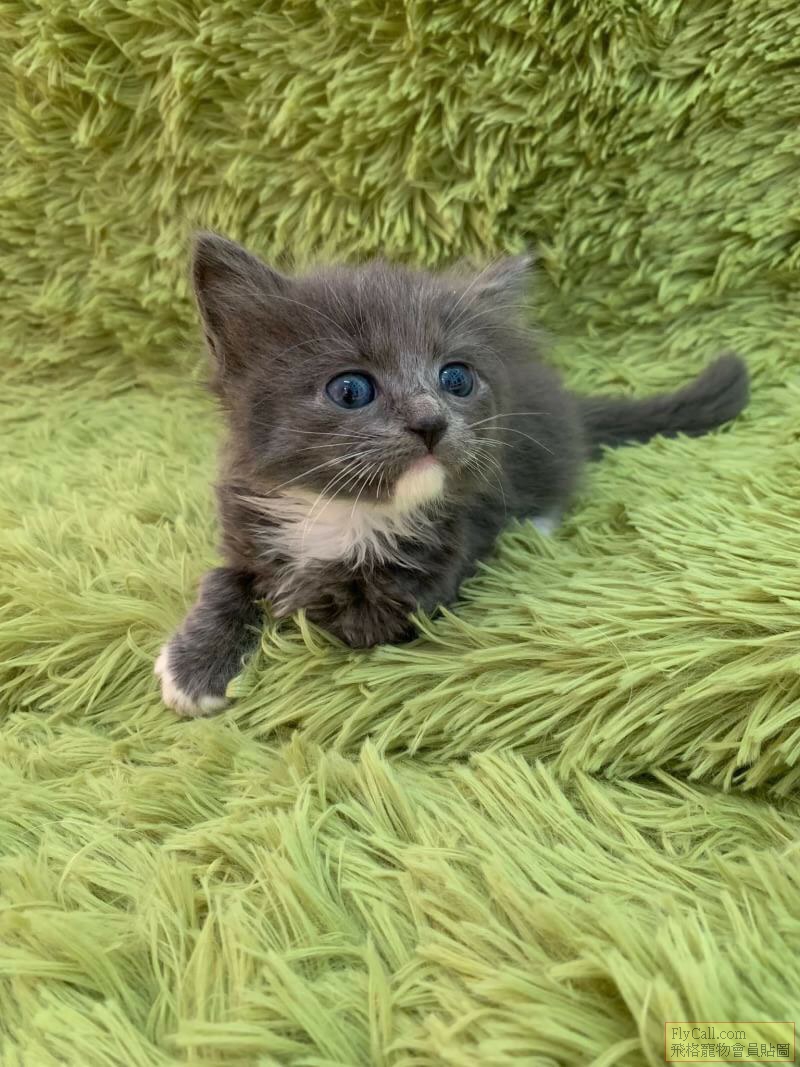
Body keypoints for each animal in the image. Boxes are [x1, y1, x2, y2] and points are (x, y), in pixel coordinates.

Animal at [155, 232, 749, 716]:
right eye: (350, 389)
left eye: (456, 379)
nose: (430, 421)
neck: (345, 513)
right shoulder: (247, 520)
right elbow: (227, 578)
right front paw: (195, 662)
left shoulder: (433, 566)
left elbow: (347, 613)